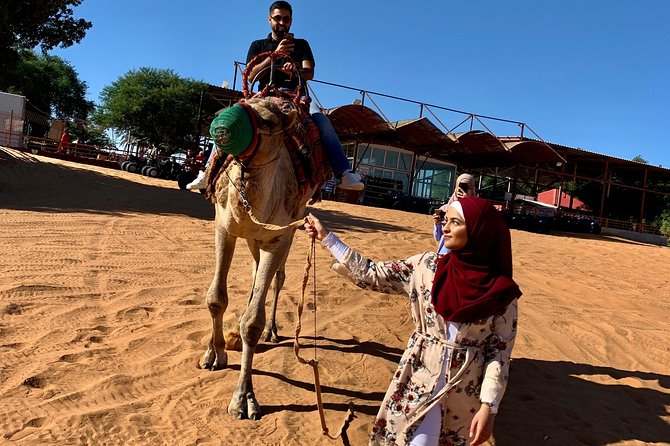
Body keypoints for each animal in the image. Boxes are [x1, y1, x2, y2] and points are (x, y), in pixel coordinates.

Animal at [197, 93, 330, 418]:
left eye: (269, 122)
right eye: (232, 104)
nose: (221, 125)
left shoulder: (278, 236)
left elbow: (252, 323)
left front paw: (244, 398)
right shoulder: (224, 227)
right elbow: (216, 298)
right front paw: (214, 354)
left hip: (289, 230)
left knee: (277, 278)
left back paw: (272, 330)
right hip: (253, 238)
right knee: (257, 272)